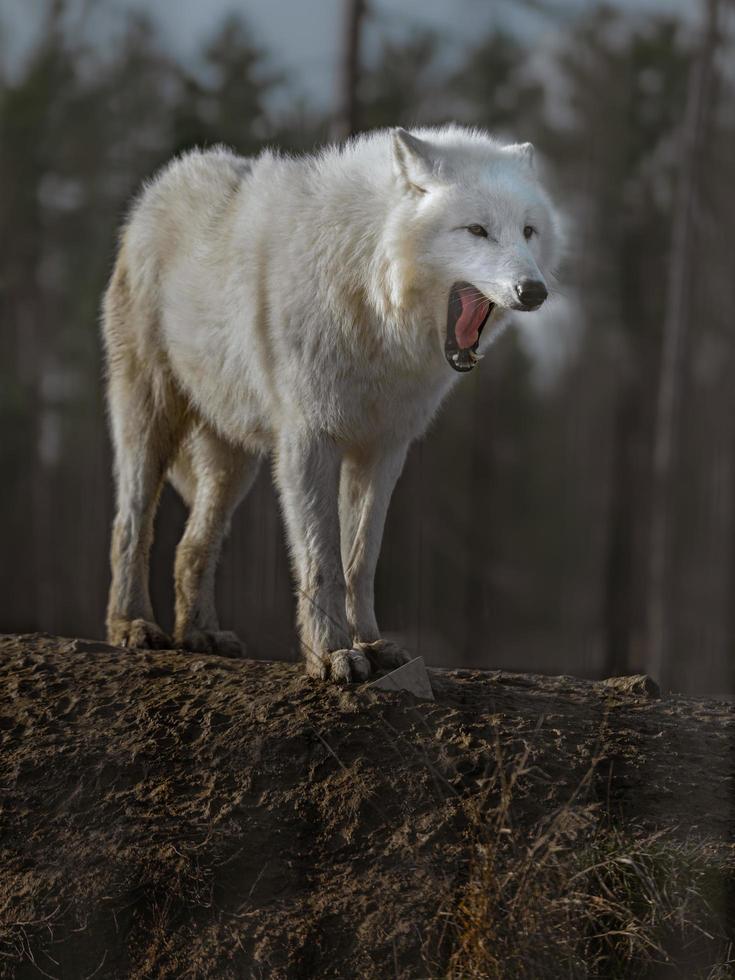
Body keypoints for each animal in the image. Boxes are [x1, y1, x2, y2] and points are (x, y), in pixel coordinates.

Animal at [103, 124, 564, 680]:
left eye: (528, 231)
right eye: (476, 230)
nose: (534, 290)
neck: (372, 299)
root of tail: (166, 180)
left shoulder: (383, 449)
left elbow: (360, 559)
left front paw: (370, 644)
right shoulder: (309, 443)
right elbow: (322, 561)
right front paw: (331, 654)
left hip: (234, 463)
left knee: (191, 547)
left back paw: (200, 634)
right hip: (149, 422)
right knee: (131, 525)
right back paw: (131, 625)